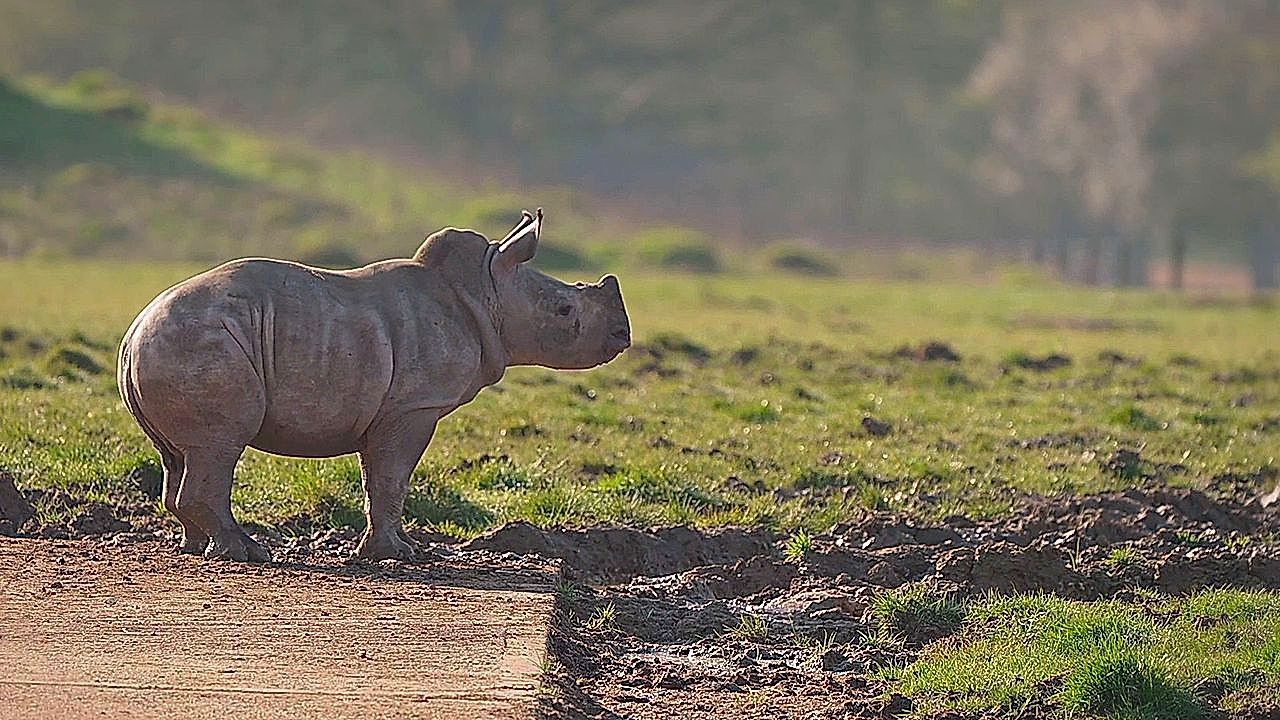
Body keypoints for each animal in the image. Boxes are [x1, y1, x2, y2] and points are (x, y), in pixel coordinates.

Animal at [118, 209, 630, 562]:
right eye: (564, 311)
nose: (623, 335)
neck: (487, 292)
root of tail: (133, 333)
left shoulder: (391, 409)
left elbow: (380, 478)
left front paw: (399, 548)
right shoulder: (414, 406)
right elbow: (392, 477)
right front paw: (395, 555)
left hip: (175, 346)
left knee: (178, 454)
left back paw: (197, 547)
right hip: (199, 344)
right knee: (218, 446)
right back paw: (246, 553)